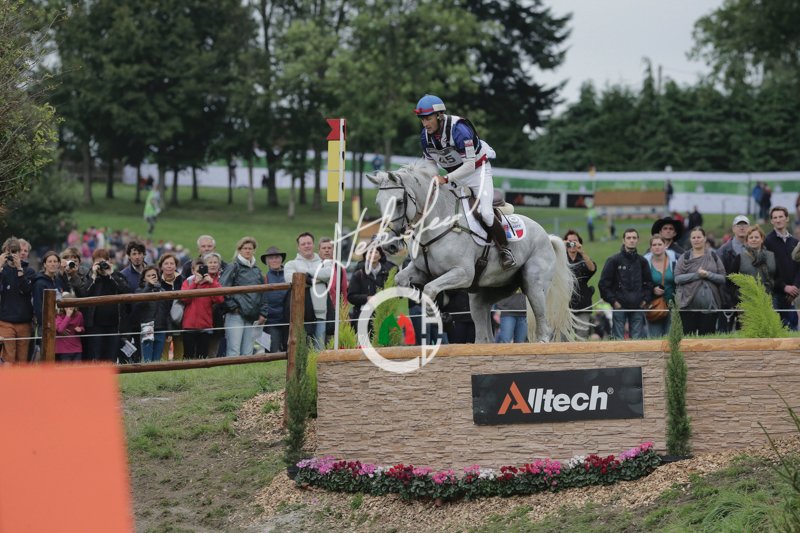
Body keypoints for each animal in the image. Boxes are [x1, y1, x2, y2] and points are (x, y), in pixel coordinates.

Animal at [367, 160, 576, 343]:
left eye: (399, 202)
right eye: (378, 203)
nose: (389, 245)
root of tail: (546, 236)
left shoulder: (463, 273)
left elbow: (430, 288)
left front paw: (435, 313)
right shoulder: (422, 271)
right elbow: (402, 280)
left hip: (534, 285)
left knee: (542, 322)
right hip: (487, 293)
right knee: (485, 332)